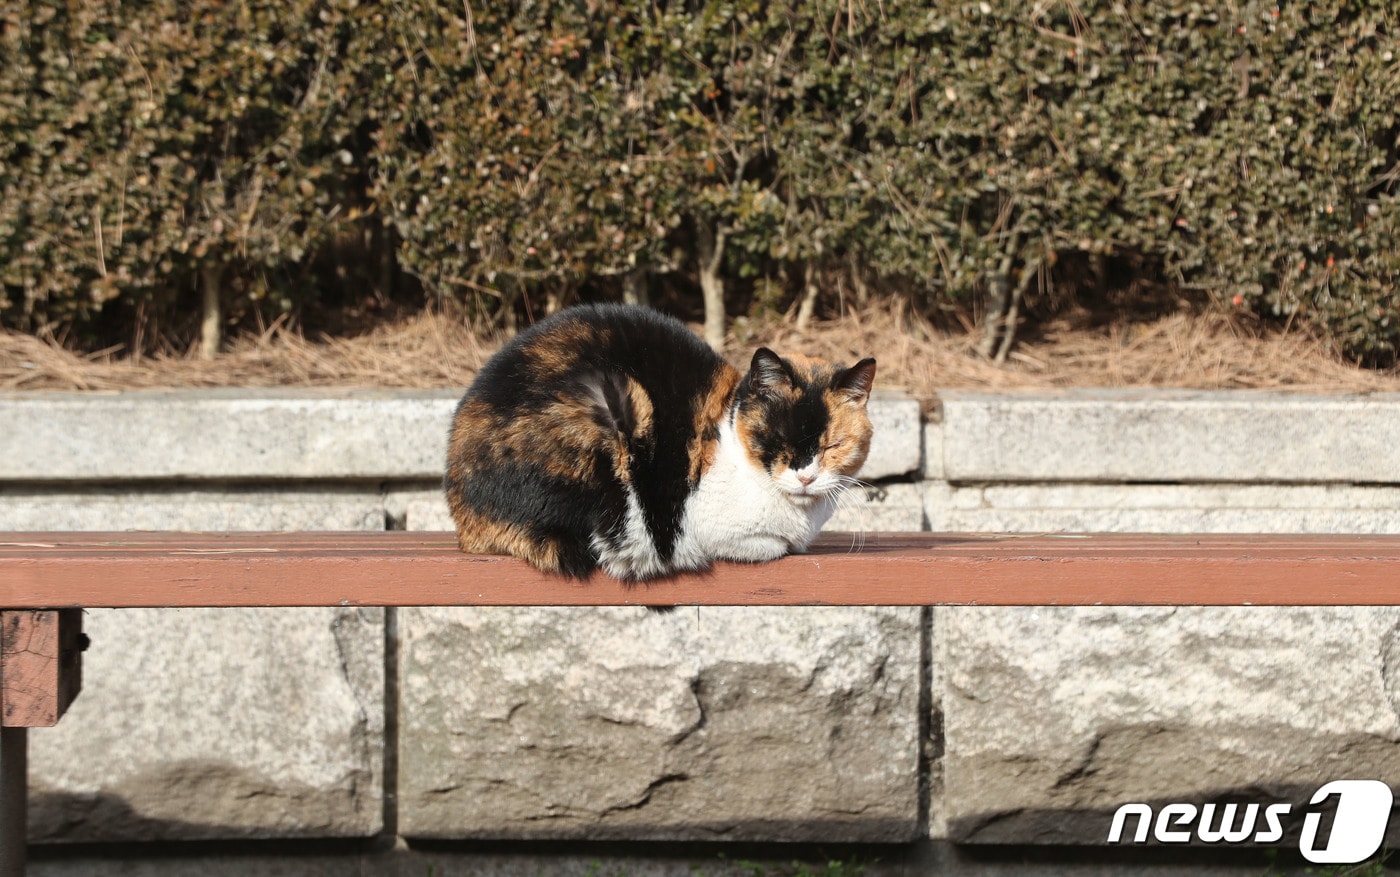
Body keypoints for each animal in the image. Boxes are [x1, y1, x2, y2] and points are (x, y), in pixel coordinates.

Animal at [445, 304, 873, 577]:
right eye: (777, 440)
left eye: (832, 446)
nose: (806, 477)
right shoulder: (706, 522)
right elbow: (769, 545)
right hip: (610, 404)